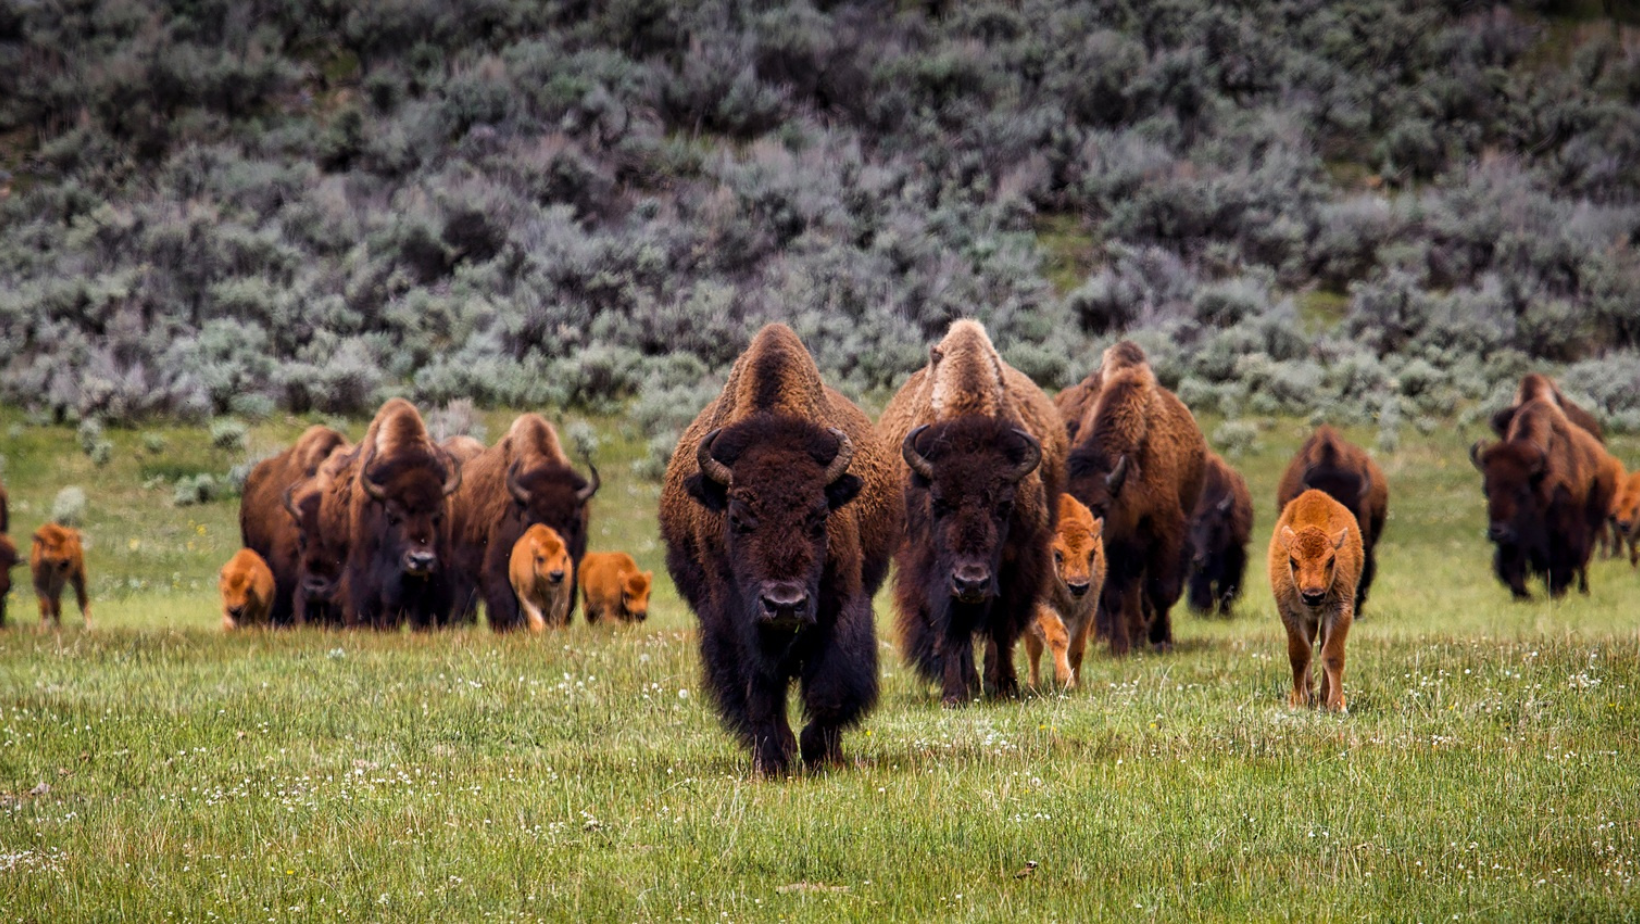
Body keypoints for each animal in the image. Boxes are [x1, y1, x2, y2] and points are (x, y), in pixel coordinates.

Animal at [660, 323, 900, 774]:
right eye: (737, 518)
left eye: (820, 516)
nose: (784, 604)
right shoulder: (732, 620)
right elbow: (758, 693)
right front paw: (775, 758)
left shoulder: (841, 605)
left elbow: (830, 688)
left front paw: (820, 753)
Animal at [881, 320, 1067, 705]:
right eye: (938, 503)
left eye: (1005, 505)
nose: (971, 582)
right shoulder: (929, 571)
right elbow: (951, 631)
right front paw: (955, 693)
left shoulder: (1016, 565)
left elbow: (1001, 626)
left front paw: (1005, 686)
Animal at [1063, 341, 1205, 654]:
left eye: (1100, 507)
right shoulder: (1114, 550)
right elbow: (1115, 597)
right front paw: (1120, 647)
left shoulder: (1165, 533)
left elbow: (1162, 590)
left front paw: (1161, 639)